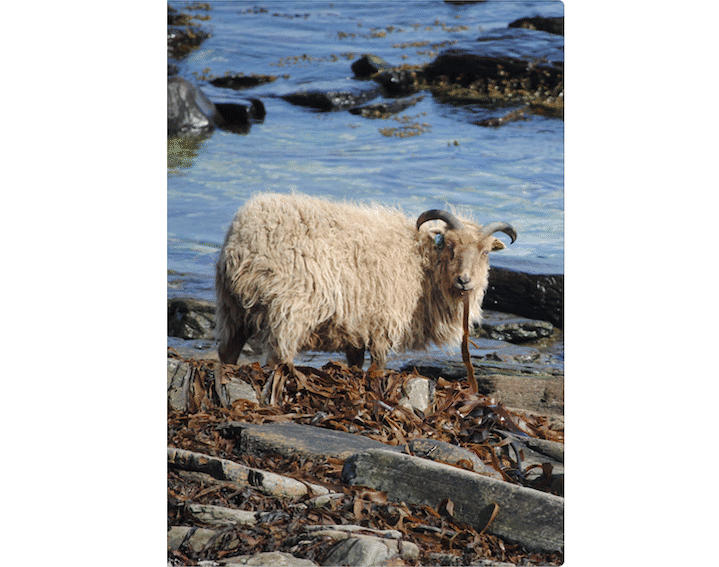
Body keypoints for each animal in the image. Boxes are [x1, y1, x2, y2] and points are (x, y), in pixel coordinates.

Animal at [215, 192, 516, 369]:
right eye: (449, 245)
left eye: (486, 252)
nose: (465, 281)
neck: (421, 262)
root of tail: (243, 239)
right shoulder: (384, 323)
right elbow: (378, 368)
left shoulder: (356, 327)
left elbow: (356, 367)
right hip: (288, 311)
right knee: (277, 359)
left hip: (233, 309)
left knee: (227, 353)